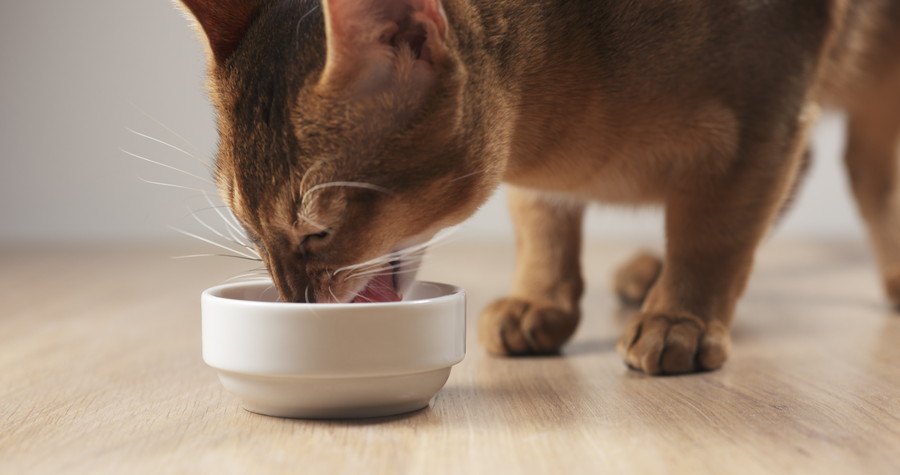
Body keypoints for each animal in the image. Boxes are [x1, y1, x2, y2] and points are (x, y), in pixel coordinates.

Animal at [176, 1, 900, 378]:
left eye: (318, 230)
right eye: (248, 228)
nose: (295, 304)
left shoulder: (767, 111)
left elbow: (716, 231)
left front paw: (683, 319)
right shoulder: (539, 175)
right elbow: (544, 218)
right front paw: (538, 302)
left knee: (863, 173)